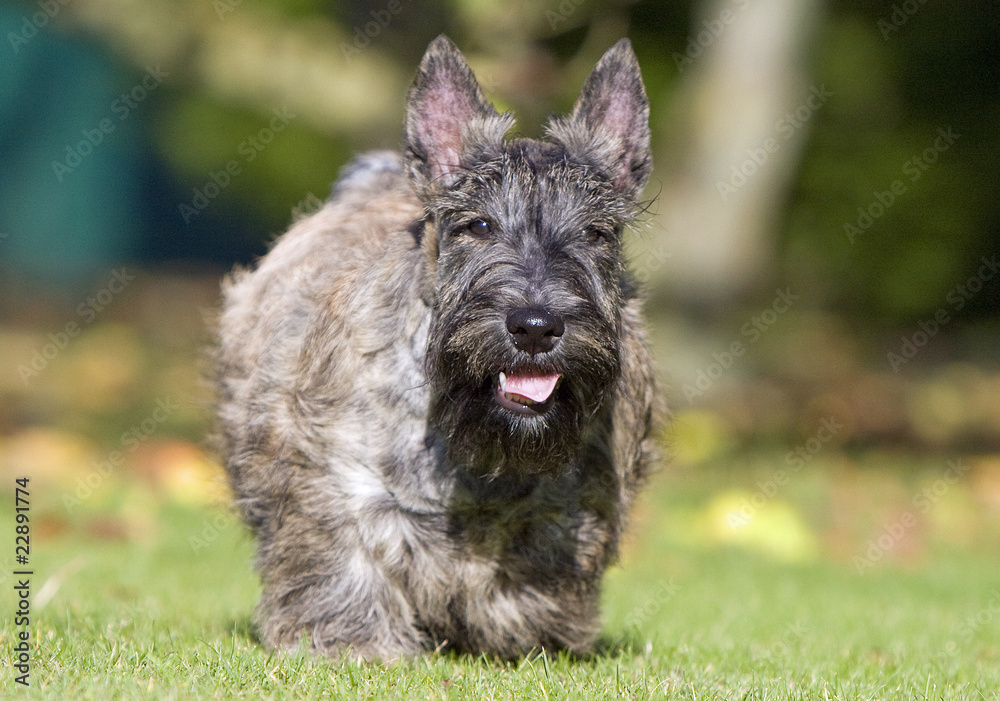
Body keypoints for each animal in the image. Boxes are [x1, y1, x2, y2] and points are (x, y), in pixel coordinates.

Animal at [215, 35, 660, 660]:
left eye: (598, 233)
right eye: (478, 226)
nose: (535, 326)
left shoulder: (571, 512)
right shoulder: (332, 482)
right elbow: (342, 558)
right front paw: (350, 641)